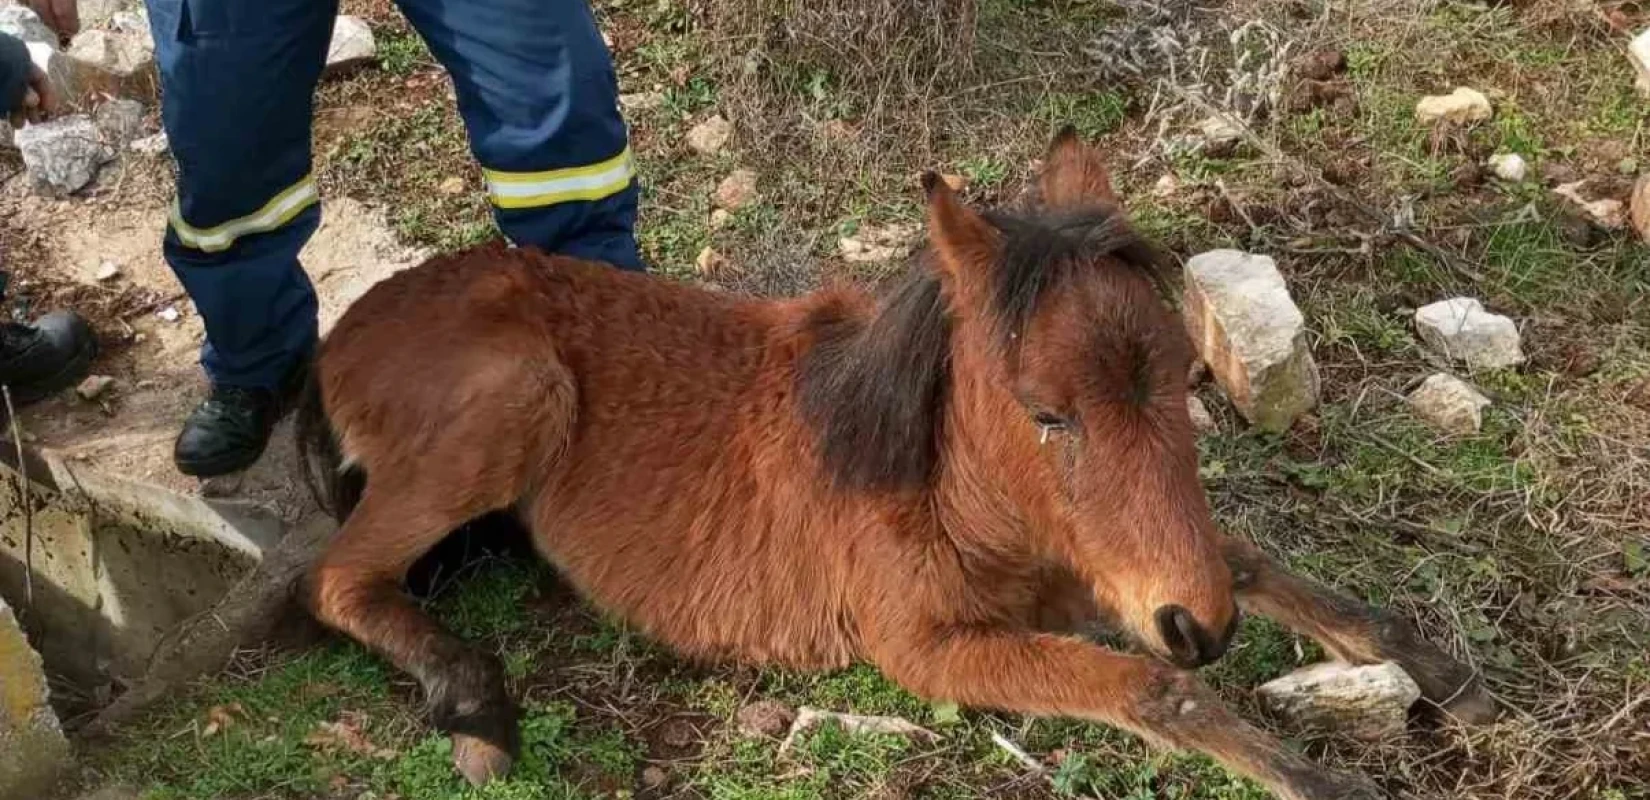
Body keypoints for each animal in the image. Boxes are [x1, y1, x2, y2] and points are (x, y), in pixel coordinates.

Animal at [297, 127, 1498, 795]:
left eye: (1187, 381)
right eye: (1047, 413)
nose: (1201, 627)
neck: (944, 486)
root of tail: (348, 326)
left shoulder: (1100, 569)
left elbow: (1247, 560)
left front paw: (1433, 665)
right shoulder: (928, 650)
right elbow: (1156, 688)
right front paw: (1323, 780)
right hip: (520, 398)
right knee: (335, 579)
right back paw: (474, 706)